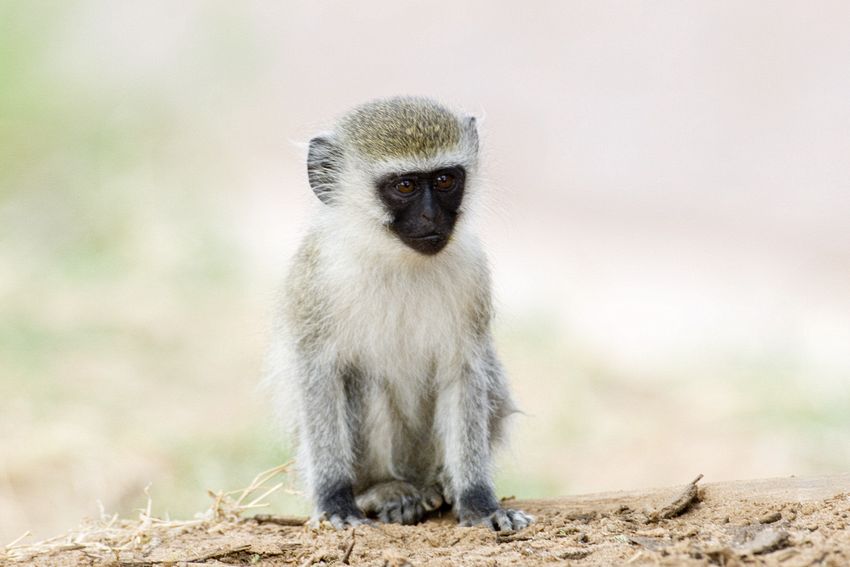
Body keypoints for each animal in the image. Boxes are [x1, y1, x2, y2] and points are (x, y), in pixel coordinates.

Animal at [268, 96, 528, 532]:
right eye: (404, 186)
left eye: (445, 180)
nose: (431, 218)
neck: (395, 257)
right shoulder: (318, 278)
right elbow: (319, 372)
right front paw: (334, 498)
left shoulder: (472, 273)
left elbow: (465, 371)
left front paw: (478, 500)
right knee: (364, 381)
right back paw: (384, 490)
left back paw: (442, 486)